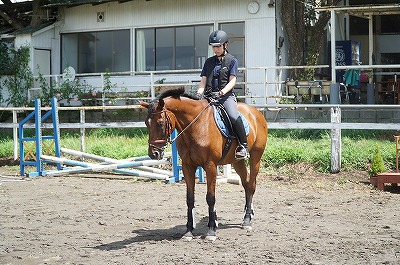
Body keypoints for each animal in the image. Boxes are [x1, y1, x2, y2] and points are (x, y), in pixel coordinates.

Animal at [141, 86, 268, 239]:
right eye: (146, 123)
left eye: (160, 123)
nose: (153, 153)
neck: (195, 125)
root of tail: (255, 112)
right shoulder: (187, 166)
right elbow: (190, 198)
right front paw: (189, 230)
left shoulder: (210, 165)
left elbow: (210, 197)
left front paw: (212, 229)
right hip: (237, 161)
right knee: (246, 183)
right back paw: (247, 215)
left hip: (256, 157)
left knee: (252, 184)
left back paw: (247, 220)